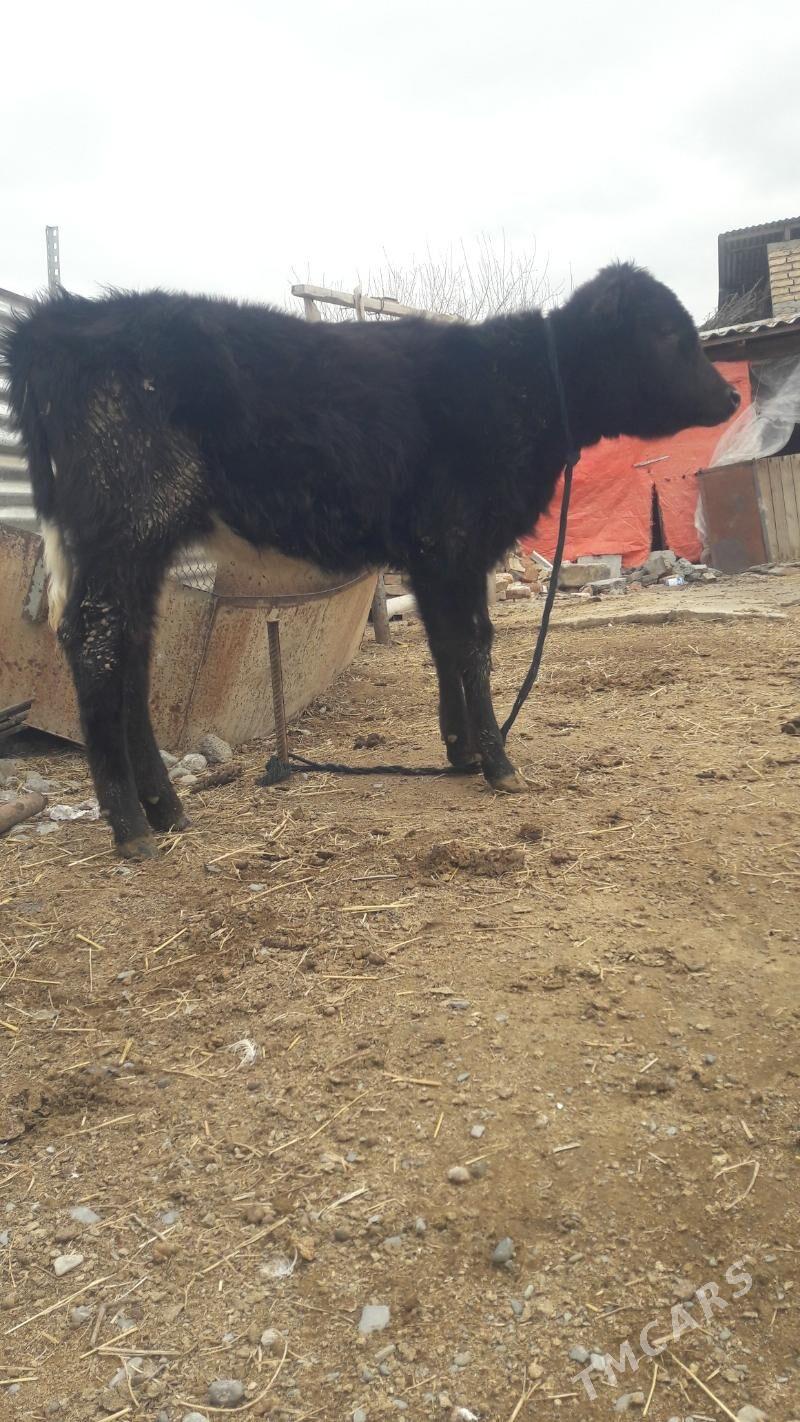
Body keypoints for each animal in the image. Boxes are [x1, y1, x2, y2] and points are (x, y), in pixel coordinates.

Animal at [2, 262, 739, 857]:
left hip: (138, 545)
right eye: (665, 333)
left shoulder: (438, 554)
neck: (520, 387)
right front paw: (498, 762)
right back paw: (130, 828)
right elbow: (472, 645)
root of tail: (55, 324)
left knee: (130, 651)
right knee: (98, 645)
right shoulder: (455, 539)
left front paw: (461, 751)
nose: (731, 395)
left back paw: (166, 810)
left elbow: (448, 645)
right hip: (127, 521)